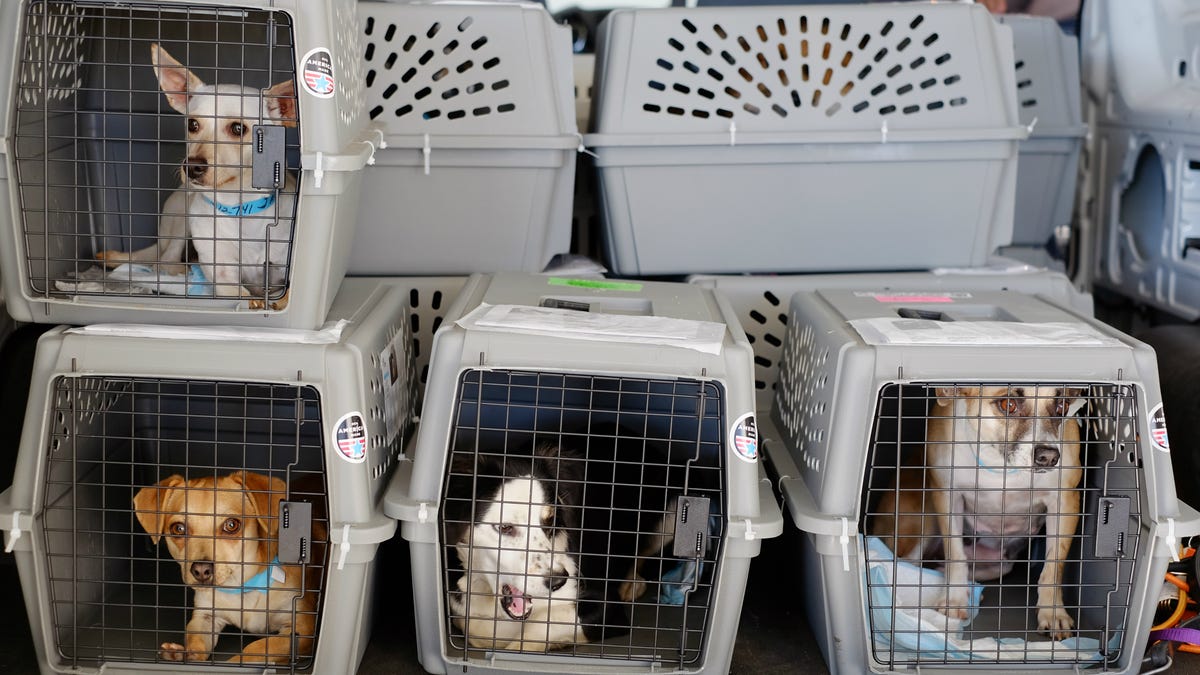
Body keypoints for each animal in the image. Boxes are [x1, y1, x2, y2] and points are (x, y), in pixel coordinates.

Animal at [96, 43, 297, 312]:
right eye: (192, 124)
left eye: (238, 129)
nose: (191, 167)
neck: (239, 208)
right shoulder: (223, 275)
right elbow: (242, 295)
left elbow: (289, 291)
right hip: (182, 217)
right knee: (164, 260)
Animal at [134, 470, 324, 658]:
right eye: (178, 529)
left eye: (231, 525)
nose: (201, 569)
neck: (240, 587)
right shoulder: (205, 616)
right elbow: (196, 642)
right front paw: (184, 655)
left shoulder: (301, 628)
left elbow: (256, 649)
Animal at [446, 425, 700, 653]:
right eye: (505, 527)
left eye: (551, 522)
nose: (558, 581)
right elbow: (476, 625)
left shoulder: (606, 607)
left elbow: (541, 625)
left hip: (676, 508)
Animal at [873, 384, 1089, 634]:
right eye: (1008, 404)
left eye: (1062, 405)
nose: (1049, 456)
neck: (1001, 465)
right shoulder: (948, 497)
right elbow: (956, 555)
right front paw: (955, 600)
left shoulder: (1064, 502)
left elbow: (1053, 568)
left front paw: (1052, 613)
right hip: (922, 523)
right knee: (909, 565)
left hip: (1003, 560)